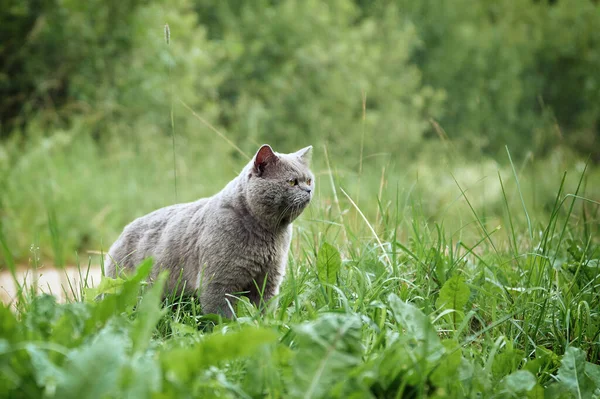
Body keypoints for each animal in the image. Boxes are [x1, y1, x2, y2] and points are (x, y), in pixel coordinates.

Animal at [103, 145, 314, 318]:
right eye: (292, 182)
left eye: (309, 180)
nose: (309, 190)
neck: (269, 233)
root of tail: (121, 235)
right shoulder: (218, 283)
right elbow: (222, 317)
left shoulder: (269, 281)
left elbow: (265, 310)